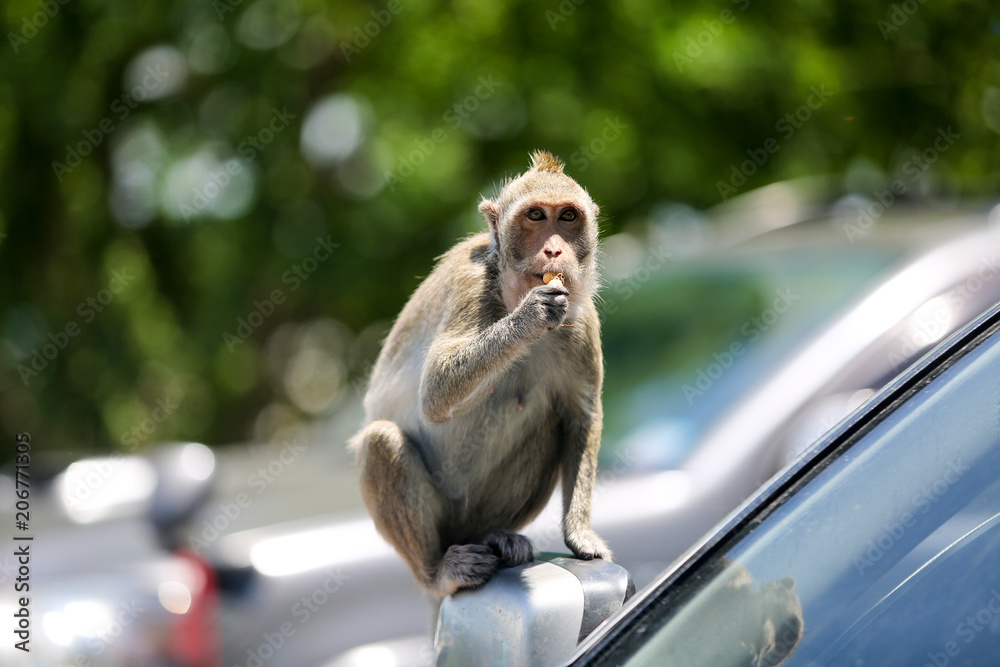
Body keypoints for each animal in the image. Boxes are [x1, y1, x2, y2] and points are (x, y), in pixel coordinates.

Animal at [352, 153, 608, 600]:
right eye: (536, 216)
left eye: (568, 217)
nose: (554, 248)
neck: (508, 292)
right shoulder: (470, 287)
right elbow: (435, 393)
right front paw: (528, 318)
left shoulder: (580, 323)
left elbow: (583, 415)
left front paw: (579, 534)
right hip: (442, 526)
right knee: (380, 441)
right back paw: (438, 572)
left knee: (549, 425)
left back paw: (494, 536)